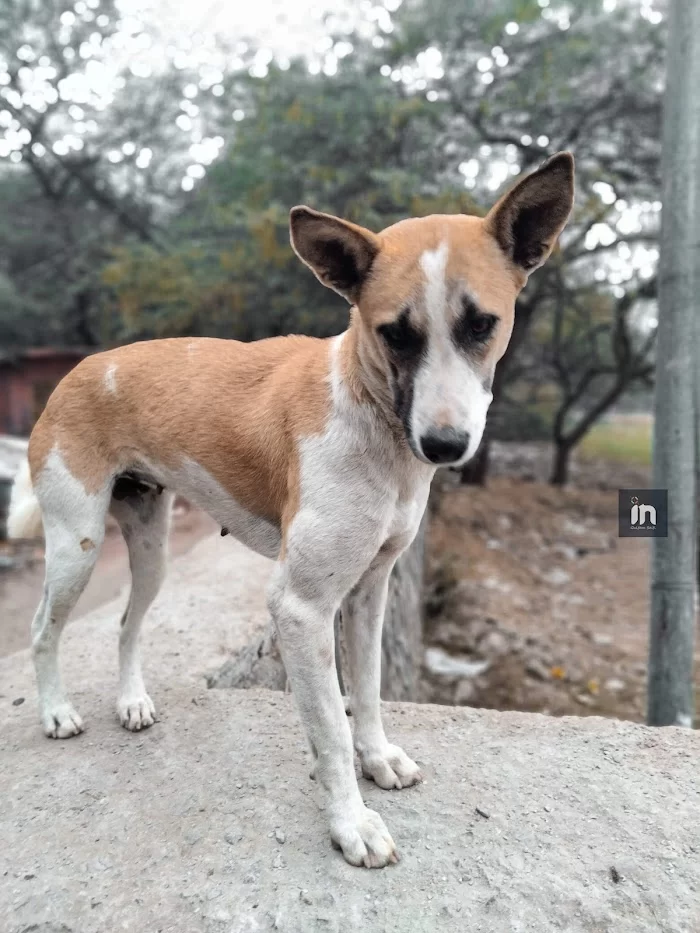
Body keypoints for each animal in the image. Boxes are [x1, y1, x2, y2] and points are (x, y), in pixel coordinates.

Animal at [6, 151, 576, 868]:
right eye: (395, 333)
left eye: (482, 325)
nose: (445, 446)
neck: (369, 411)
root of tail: (80, 369)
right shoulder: (302, 608)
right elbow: (329, 725)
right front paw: (351, 822)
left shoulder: (371, 589)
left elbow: (367, 688)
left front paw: (377, 758)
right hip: (76, 545)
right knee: (42, 630)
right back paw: (55, 712)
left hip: (151, 550)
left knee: (127, 625)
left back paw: (131, 701)